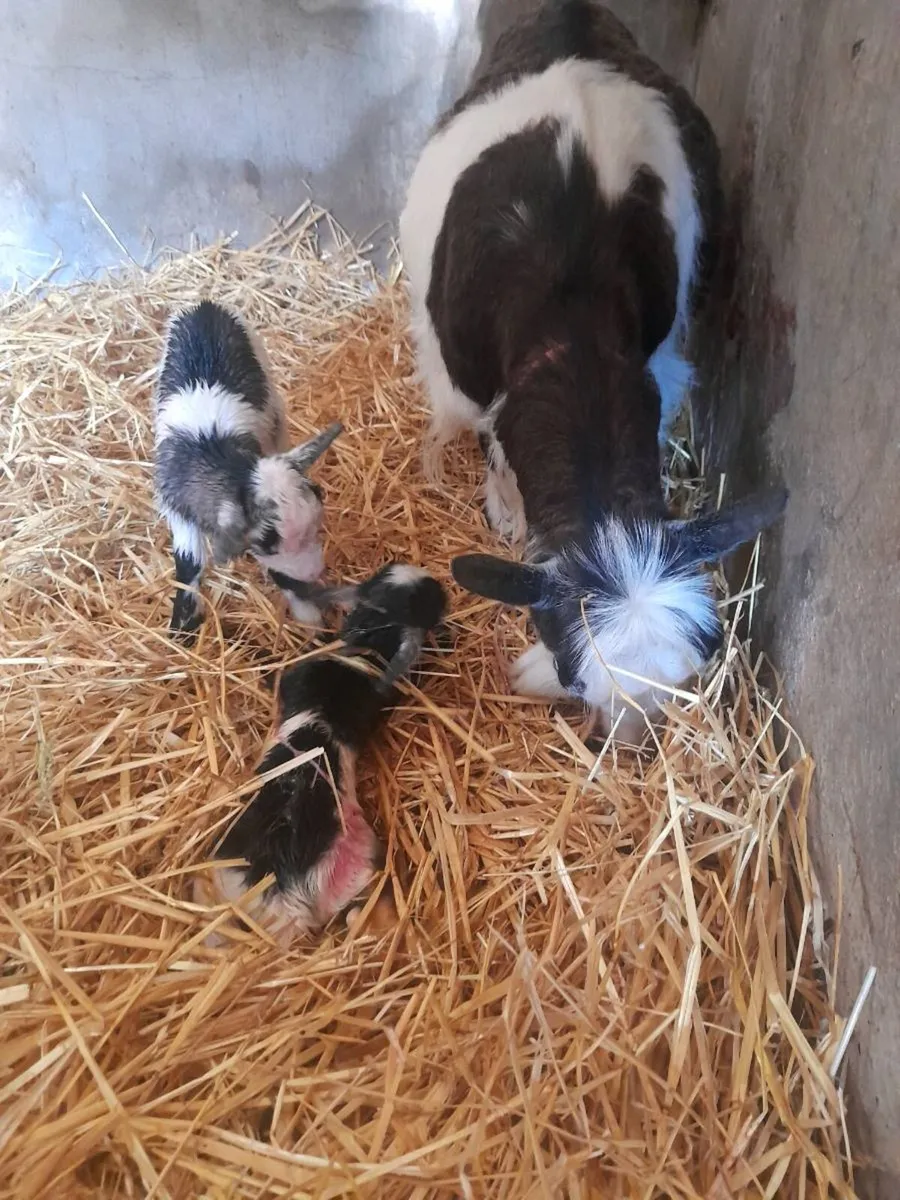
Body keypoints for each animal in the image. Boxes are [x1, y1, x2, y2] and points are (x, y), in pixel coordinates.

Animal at [154, 300, 341, 639]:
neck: (213, 451)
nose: (314, 573)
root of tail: (204, 305)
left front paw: (313, 621)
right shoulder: (177, 509)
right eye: (266, 541)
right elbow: (189, 562)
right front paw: (182, 629)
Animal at [400, 0, 786, 734]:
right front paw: (505, 512)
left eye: (686, 680)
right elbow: (489, 444)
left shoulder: (661, 362)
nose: (633, 741)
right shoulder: (460, 378)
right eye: (577, 679)